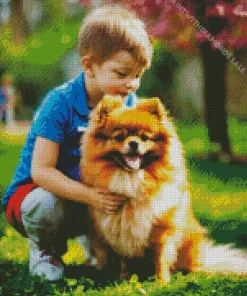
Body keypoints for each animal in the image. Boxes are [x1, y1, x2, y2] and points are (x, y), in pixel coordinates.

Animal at [80, 96, 246, 284]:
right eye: (120, 136)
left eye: (145, 137)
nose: (133, 143)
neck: (133, 180)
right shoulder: (121, 232)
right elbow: (125, 259)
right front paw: (124, 279)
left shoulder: (161, 229)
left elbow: (160, 257)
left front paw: (161, 282)